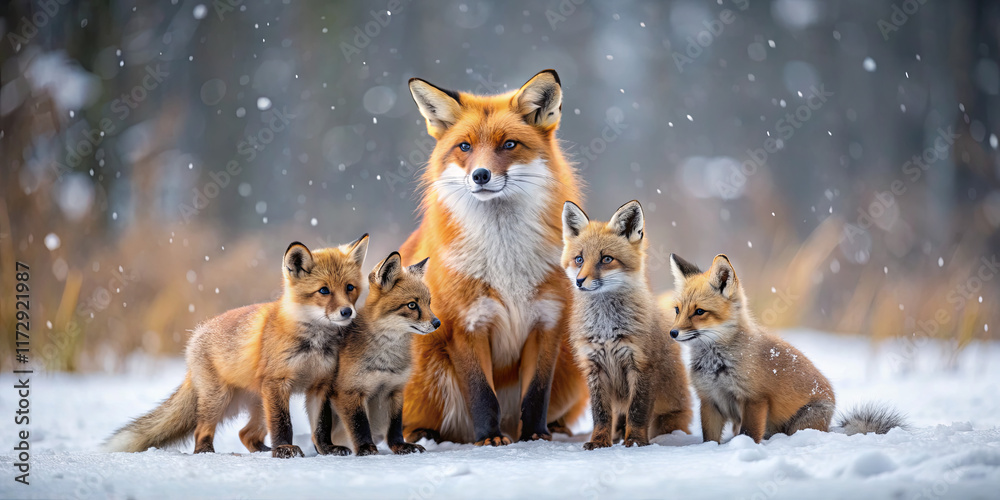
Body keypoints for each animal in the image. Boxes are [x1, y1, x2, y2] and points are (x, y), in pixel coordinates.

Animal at [105, 235, 369, 458]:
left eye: (349, 288)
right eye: (323, 290)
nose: (347, 312)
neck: (314, 341)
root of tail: (196, 335)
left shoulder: (320, 385)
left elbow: (321, 426)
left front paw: (327, 449)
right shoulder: (277, 383)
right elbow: (283, 424)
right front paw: (284, 448)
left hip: (259, 405)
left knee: (246, 434)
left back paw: (262, 451)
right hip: (221, 400)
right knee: (201, 430)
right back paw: (206, 452)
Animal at [308, 252, 440, 456]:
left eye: (429, 303)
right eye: (412, 305)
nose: (437, 323)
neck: (386, 358)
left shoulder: (395, 390)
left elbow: (395, 426)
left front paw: (400, 446)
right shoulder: (350, 391)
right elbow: (359, 425)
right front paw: (365, 448)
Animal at [400, 69, 588, 445]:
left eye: (509, 145)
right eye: (465, 147)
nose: (481, 175)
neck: (506, 259)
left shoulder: (547, 323)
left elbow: (537, 393)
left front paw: (535, 436)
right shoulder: (466, 325)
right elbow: (482, 394)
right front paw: (489, 438)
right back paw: (426, 435)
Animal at [561, 200, 692, 449]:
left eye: (606, 259)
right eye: (579, 259)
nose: (580, 281)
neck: (606, 329)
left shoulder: (641, 364)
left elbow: (637, 411)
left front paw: (635, 441)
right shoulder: (594, 367)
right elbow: (601, 414)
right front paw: (599, 441)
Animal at [668, 253, 906, 443]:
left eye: (699, 312)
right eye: (677, 310)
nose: (672, 333)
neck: (716, 364)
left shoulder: (754, 399)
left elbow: (749, 434)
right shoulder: (709, 400)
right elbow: (710, 439)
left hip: (799, 423)